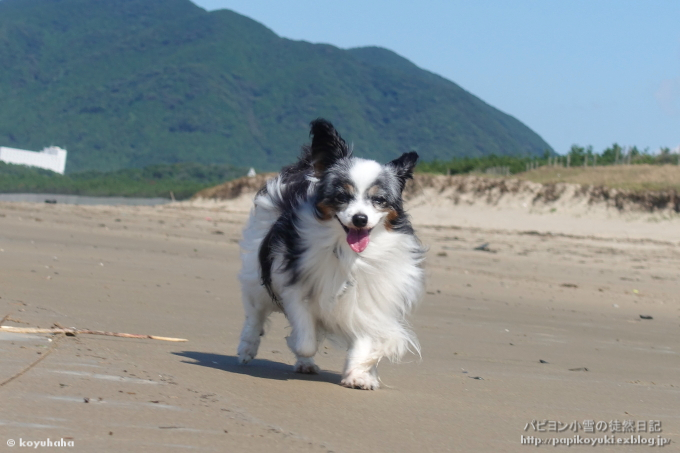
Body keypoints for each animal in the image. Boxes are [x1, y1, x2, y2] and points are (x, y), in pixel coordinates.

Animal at [236, 117, 422, 388]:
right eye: (342, 196)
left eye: (379, 200)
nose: (359, 219)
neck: (348, 253)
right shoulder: (296, 287)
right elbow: (305, 340)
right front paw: (297, 343)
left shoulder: (365, 301)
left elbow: (364, 342)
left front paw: (359, 374)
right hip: (257, 277)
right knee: (254, 315)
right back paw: (247, 350)